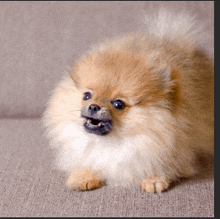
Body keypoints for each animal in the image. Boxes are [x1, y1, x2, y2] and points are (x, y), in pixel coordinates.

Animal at [42, 8, 213, 192]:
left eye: (118, 104)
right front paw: (83, 176)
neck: (113, 142)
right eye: (87, 95)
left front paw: (154, 179)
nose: (94, 107)